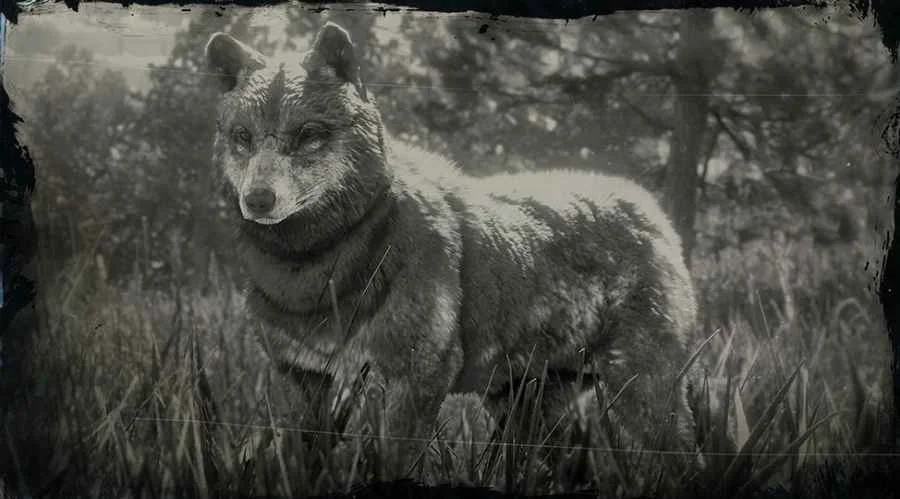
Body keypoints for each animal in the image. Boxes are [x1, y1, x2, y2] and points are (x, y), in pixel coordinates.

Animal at [205, 21, 703, 483]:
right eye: (242, 137)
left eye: (308, 134)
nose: (258, 200)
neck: (313, 276)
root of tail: (651, 210)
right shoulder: (302, 383)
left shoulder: (416, 381)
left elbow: (393, 464)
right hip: (530, 411)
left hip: (643, 397)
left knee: (688, 463)